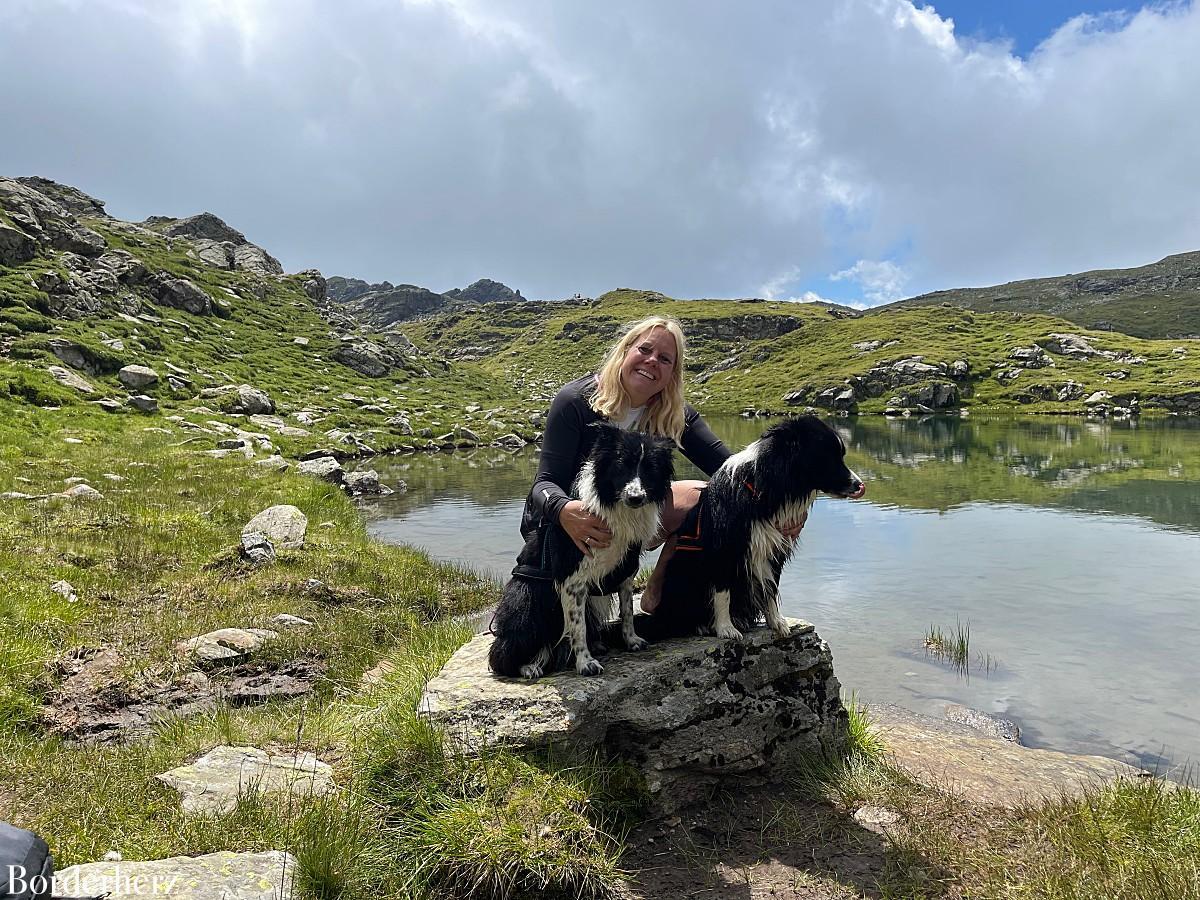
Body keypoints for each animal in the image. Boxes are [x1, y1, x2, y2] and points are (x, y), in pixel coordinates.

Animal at [487, 427, 676, 681]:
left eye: (650, 469)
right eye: (621, 465)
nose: (635, 498)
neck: (616, 505)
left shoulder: (626, 571)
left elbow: (627, 611)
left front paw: (632, 640)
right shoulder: (572, 579)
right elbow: (578, 627)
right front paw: (586, 663)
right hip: (528, 600)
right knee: (502, 655)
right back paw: (528, 666)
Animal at [648, 420, 864, 643]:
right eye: (828, 457)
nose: (860, 485)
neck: (765, 490)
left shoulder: (774, 547)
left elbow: (771, 587)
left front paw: (777, 622)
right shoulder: (724, 550)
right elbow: (723, 591)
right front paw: (725, 628)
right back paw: (702, 625)